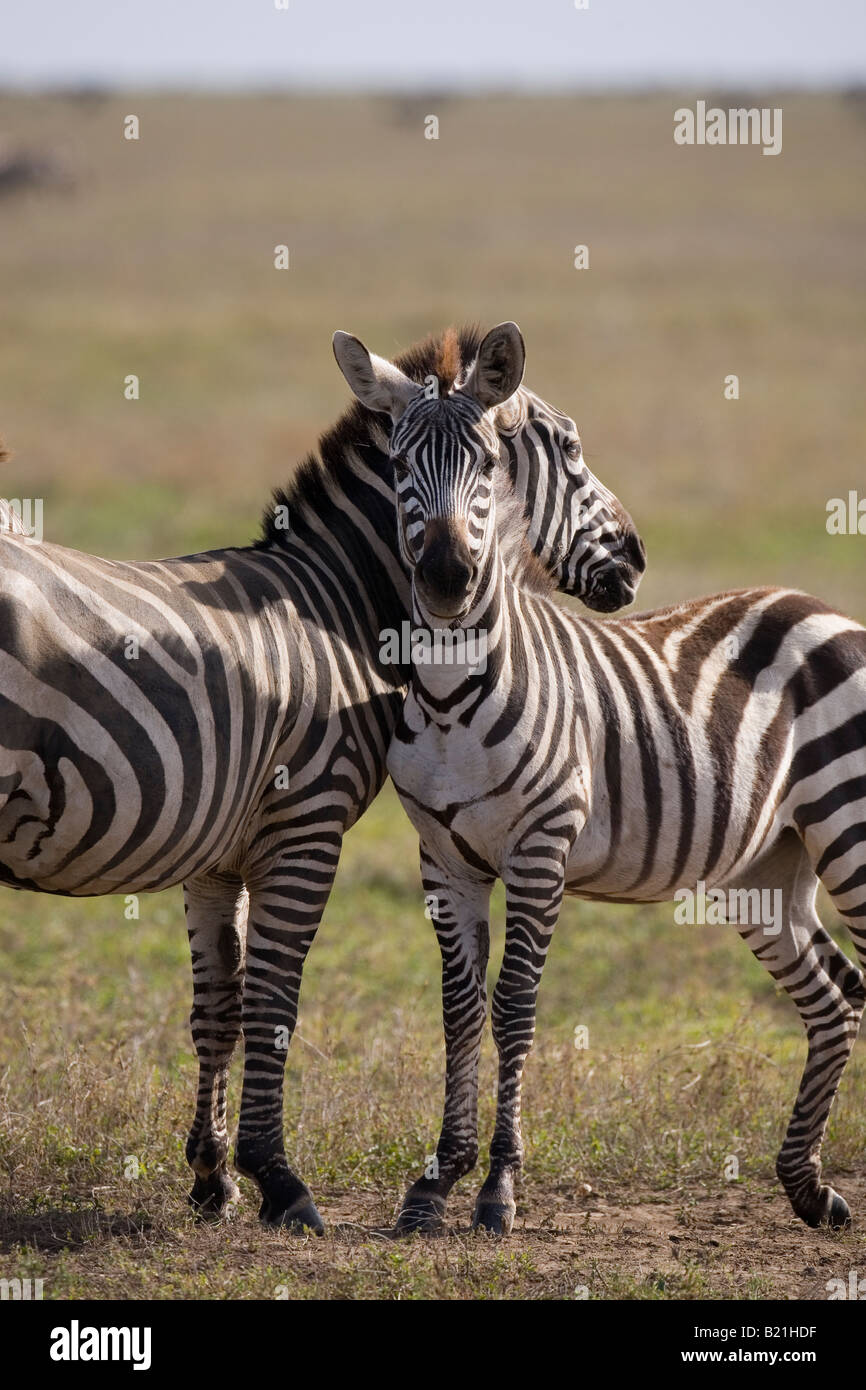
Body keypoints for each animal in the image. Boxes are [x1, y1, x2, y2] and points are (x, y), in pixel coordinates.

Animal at [0, 322, 644, 1228]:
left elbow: (218, 1009)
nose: (446, 579)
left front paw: (213, 1178)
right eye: (573, 449)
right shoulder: (305, 821)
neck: (335, 605)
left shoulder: (216, 853)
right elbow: (275, 1003)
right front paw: (277, 1178)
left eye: (487, 463)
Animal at [335, 328, 866, 1239]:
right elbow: (458, 1010)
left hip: (851, 826)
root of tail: (819, 605)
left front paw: (498, 1187)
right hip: (769, 867)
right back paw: (804, 1185)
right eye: (398, 464)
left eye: (487, 464)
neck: (447, 690)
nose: (444, 578)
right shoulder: (443, 860)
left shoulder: (540, 849)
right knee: (833, 998)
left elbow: (514, 1005)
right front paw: (437, 1181)